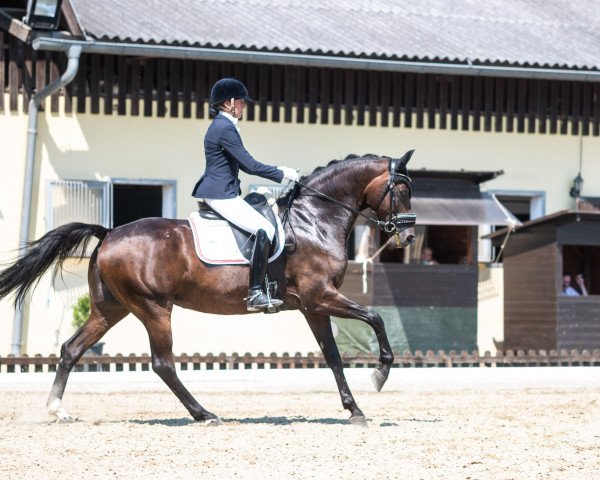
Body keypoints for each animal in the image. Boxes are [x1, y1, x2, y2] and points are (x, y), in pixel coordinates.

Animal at [0, 150, 418, 424]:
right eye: (401, 191)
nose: (409, 236)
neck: (313, 219)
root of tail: (108, 233)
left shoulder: (313, 306)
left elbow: (332, 356)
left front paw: (355, 410)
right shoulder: (321, 296)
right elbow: (375, 316)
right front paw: (380, 373)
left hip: (111, 308)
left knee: (71, 349)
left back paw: (57, 410)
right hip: (153, 308)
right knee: (163, 363)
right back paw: (204, 414)